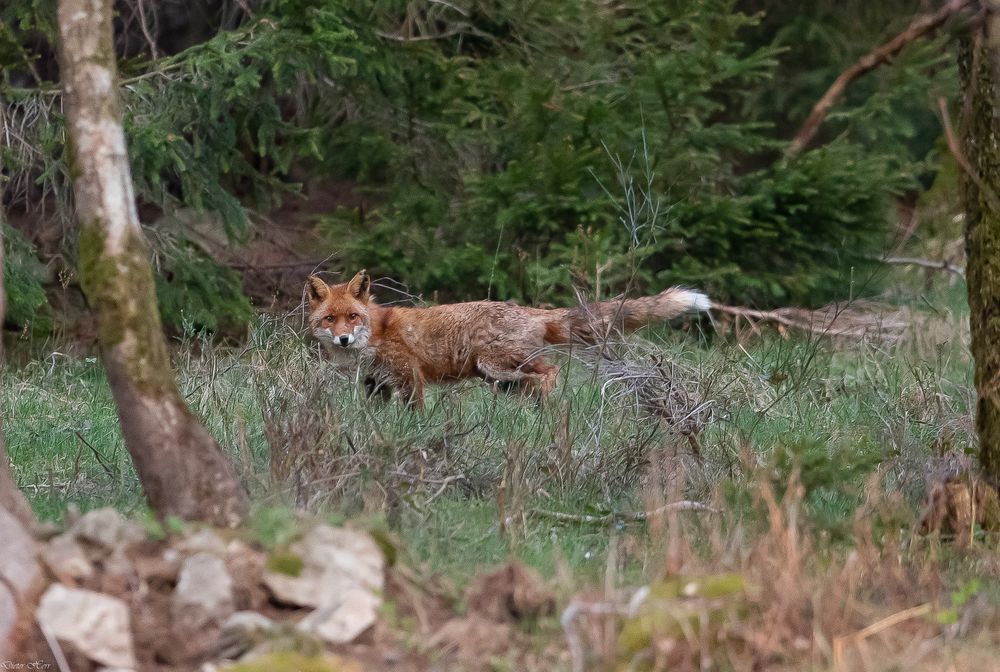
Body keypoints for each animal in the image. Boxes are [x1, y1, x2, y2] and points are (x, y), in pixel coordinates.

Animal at [304, 270, 712, 406]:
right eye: (330, 319)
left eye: (352, 317)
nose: (343, 340)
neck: (377, 330)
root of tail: (531, 310)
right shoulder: (376, 384)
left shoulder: (410, 378)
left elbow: (414, 414)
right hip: (499, 380)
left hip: (496, 367)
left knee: (549, 372)